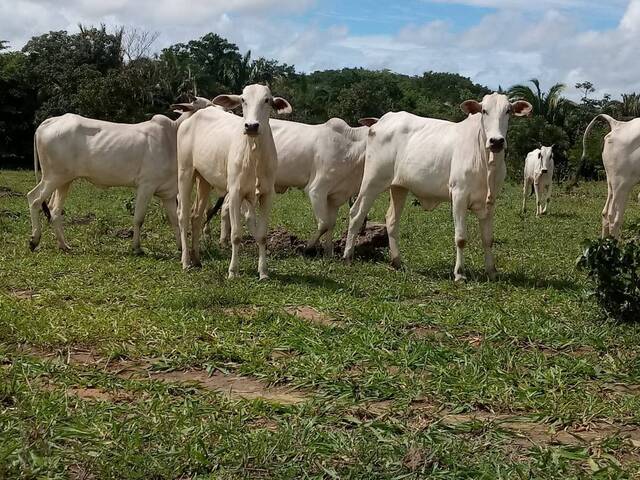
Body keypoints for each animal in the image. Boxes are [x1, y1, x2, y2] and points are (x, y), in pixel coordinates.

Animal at [27, 98, 212, 255]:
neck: (173, 138)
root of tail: (48, 122)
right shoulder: (146, 186)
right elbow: (138, 218)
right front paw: (136, 248)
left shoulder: (167, 192)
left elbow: (174, 220)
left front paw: (180, 248)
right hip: (53, 176)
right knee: (34, 198)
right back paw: (34, 240)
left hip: (65, 180)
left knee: (54, 210)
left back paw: (64, 245)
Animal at [178, 82, 292, 278]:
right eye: (243, 100)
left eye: (267, 100)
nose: (251, 126)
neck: (254, 153)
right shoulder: (235, 192)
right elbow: (236, 235)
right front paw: (233, 271)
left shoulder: (266, 194)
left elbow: (262, 235)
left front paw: (263, 272)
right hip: (185, 172)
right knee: (183, 216)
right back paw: (186, 261)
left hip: (204, 180)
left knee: (196, 216)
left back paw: (197, 259)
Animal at [212, 116, 378, 255]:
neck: (351, 147)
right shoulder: (317, 190)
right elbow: (324, 224)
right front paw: (307, 248)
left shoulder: (335, 196)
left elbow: (331, 224)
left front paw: (329, 253)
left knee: (226, 206)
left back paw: (224, 240)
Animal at [342, 94, 532, 282]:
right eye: (484, 110)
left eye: (508, 111)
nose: (496, 141)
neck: (487, 162)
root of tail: (381, 121)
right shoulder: (459, 196)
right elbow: (461, 238)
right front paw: (459, 274)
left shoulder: (490, 202)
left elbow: (488, 239)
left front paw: (492, 272)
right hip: (372, 181)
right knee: (356, 213)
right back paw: (347, 256)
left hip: (398, 187)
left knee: (391, 220)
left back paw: (397, 261)